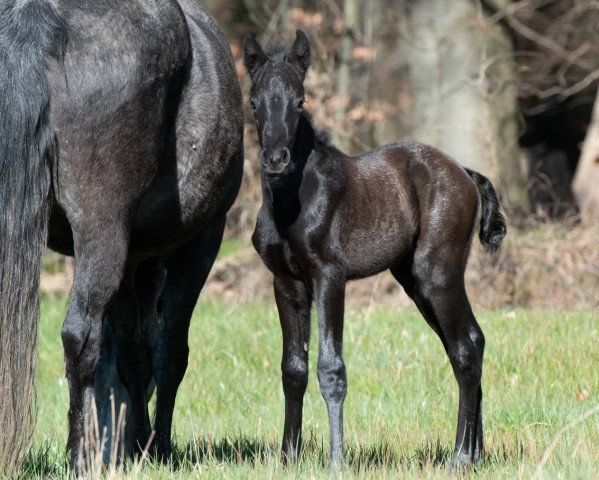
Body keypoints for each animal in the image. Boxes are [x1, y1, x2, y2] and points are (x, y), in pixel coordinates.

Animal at [0, 0, 244, 472]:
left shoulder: (133, 258)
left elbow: (129, 351)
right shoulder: (200, 242)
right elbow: (168, 351)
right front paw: (156, 446)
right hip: (104, 233)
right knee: (81, 336)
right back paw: (81, 456)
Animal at [244, 30, 506, 468]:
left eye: (300, 101)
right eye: (253, 101)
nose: (276, 159)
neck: (292, 201)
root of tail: (465, 173)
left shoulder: (329, 277)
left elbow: (331, 368)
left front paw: (336, 461)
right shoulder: (286, 283)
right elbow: (293, 369)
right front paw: (287, 457)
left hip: (439, 274)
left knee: (466, 348)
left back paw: (460, 457)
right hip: (414, 282)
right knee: (468, 343)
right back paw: (477, 454)